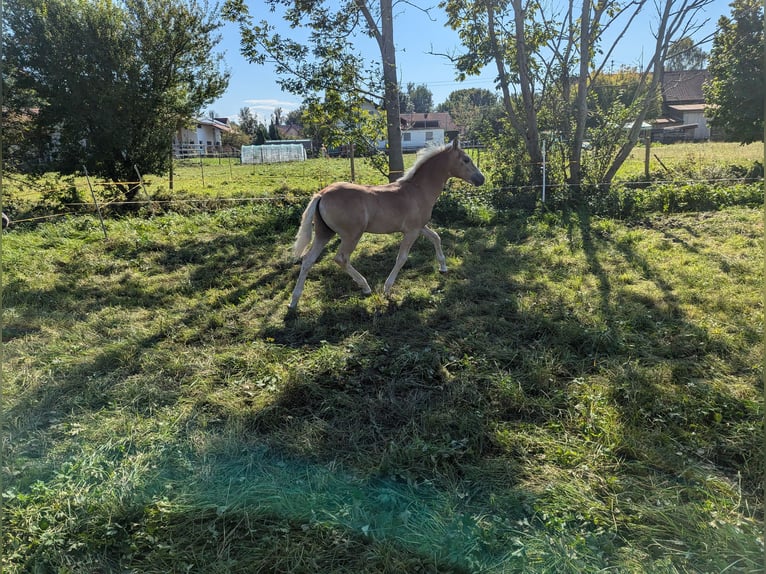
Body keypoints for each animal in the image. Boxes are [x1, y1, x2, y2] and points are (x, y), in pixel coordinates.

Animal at [288, 140, 486, 310]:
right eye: (466, 159)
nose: (481, 179)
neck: (418, 190)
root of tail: (321, 194)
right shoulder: (412, 231)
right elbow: (402, 258)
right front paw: (387, 288)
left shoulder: (420, 227)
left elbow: (436, 238)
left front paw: (443, 267)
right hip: (352, 235)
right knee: (341, 258)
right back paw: (366, 286)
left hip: (324, 233)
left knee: (308, 260)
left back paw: (293, 301)